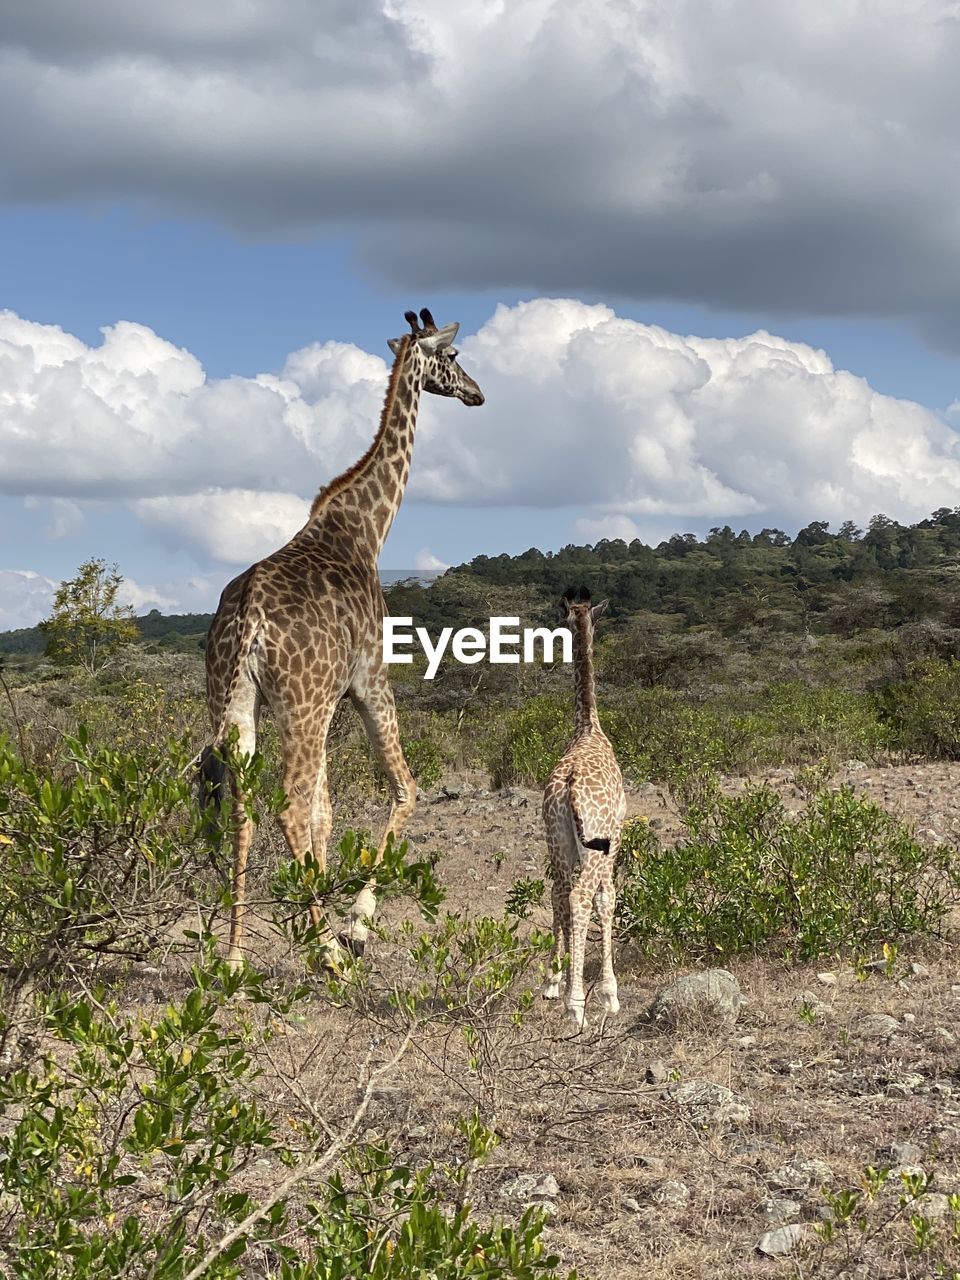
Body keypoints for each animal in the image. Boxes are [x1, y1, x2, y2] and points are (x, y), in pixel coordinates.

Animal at [200, 308, 485, 970]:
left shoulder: (328, 700)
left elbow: (326, 815)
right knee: (287, 804)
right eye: (453, 356)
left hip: (237, 701)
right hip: (300, 704)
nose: (477, 394)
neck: (365, 528)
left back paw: (235, 959)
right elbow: (405, 789)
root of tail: (248, 620)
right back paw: (328, 950)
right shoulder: (369, 680)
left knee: (248, 809)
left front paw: (318, 912)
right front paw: (352, 921)